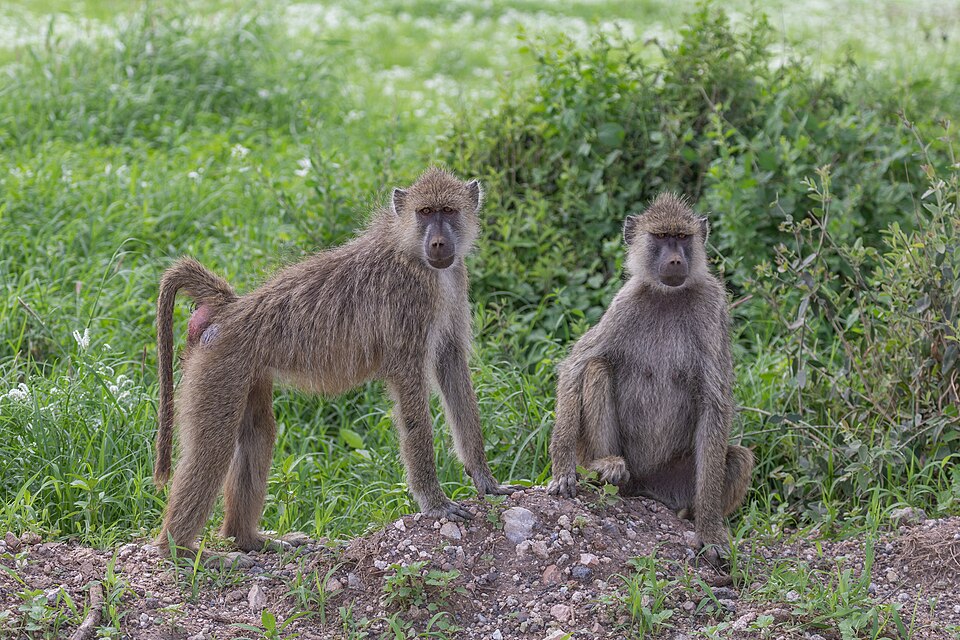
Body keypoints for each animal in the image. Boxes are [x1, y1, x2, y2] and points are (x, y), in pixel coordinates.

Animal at [154, 168, 517, 561]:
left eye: (448, 211)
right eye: (425, 212)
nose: (437, 244)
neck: (412, 253)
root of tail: (231, 308)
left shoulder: (453, 282)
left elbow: (452, 368)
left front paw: (484, 479)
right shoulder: (409, 305)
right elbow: (412, 395)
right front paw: (434, 503)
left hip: (246, 371)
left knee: (257, 432)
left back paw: (250, 539)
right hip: (218, 365)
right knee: (213, 448)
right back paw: (183, 548)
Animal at [546, 193, 753, 566]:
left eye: (682, 237)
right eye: (660, 237)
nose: (675, 260)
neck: (668, 296)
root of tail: (643, 485)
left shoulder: (713, 308)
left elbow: (714, 401)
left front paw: (710, 531)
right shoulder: (625, 303)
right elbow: (576, 364)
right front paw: (563, 470)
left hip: (672, 479)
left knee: (740, 459)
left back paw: (688, 513)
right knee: (597, 368)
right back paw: (606, 468)